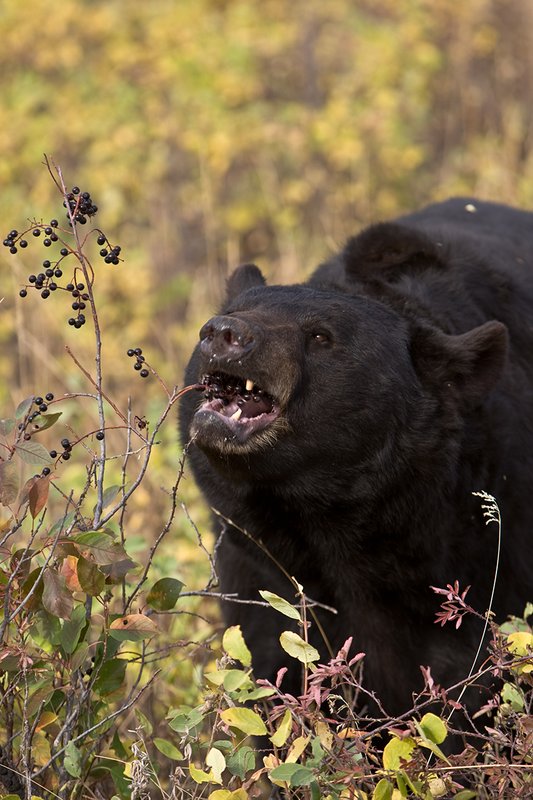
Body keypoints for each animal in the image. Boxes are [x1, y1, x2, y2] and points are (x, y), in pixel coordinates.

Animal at [179, 198, 533, 720]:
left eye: (320, 336)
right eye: (233, 311)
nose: (224, 332)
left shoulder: (488, 558)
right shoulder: (256, 573)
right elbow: (269, 664)